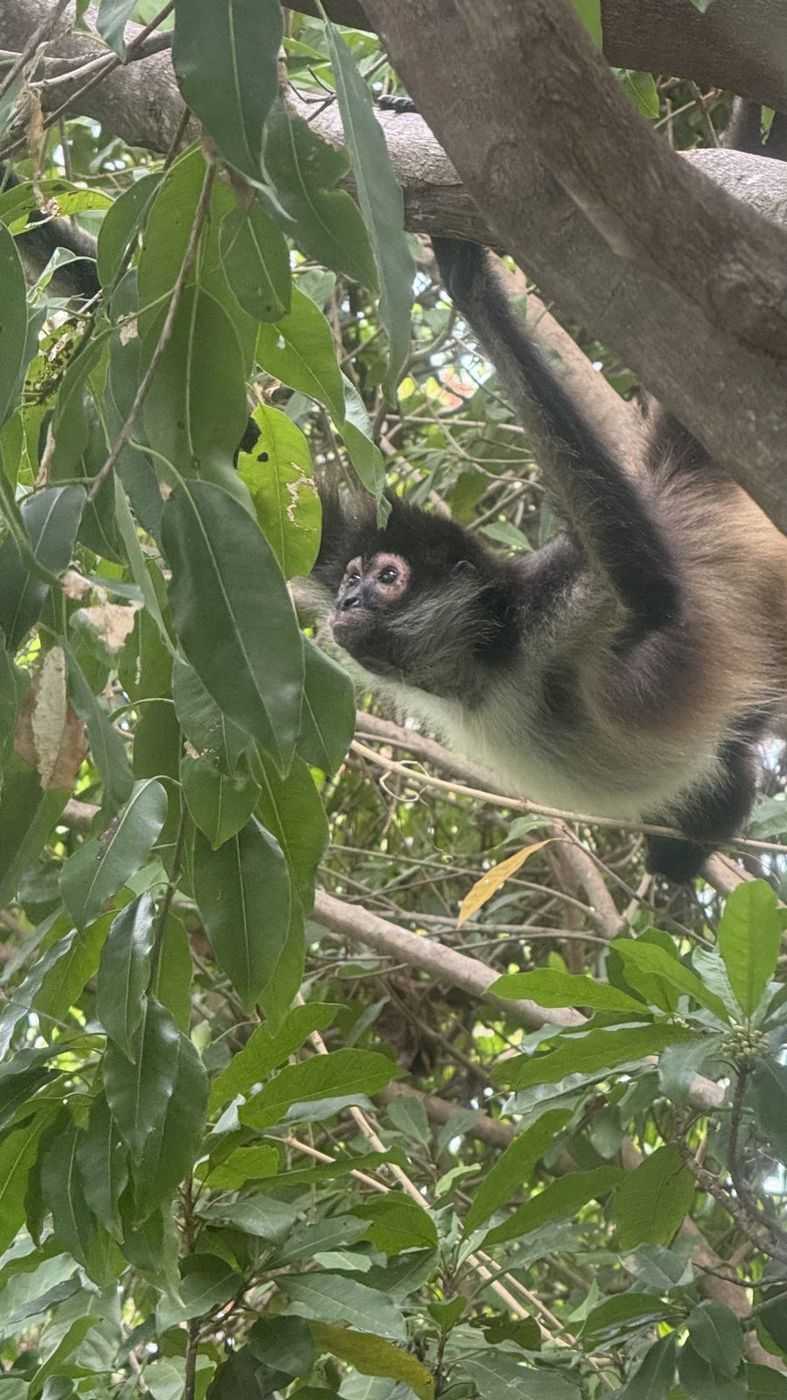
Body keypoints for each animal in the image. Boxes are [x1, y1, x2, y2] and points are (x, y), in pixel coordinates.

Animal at [310, 235, 787, 882]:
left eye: (388, 578)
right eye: (351, 576)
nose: (347, 600)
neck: (480, 667)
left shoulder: (546, 611)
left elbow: (652, 592)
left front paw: (469, 283)